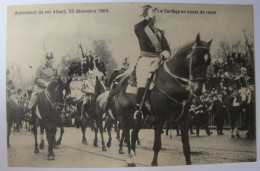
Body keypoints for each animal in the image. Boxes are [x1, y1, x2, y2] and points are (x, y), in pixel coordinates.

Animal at [108, 33, 212, 166]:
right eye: (194, 60)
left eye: (208, 62)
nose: (199, 89)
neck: (171, 81)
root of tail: (119, 82)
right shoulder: (160, 118)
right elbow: (157, 145)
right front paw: (154, 163)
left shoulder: (184, 118)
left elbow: (186, 146)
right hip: (125, 115)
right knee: (125, 132)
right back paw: (130, 157)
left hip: (140, 118)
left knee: (133, 134)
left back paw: (133, 157)